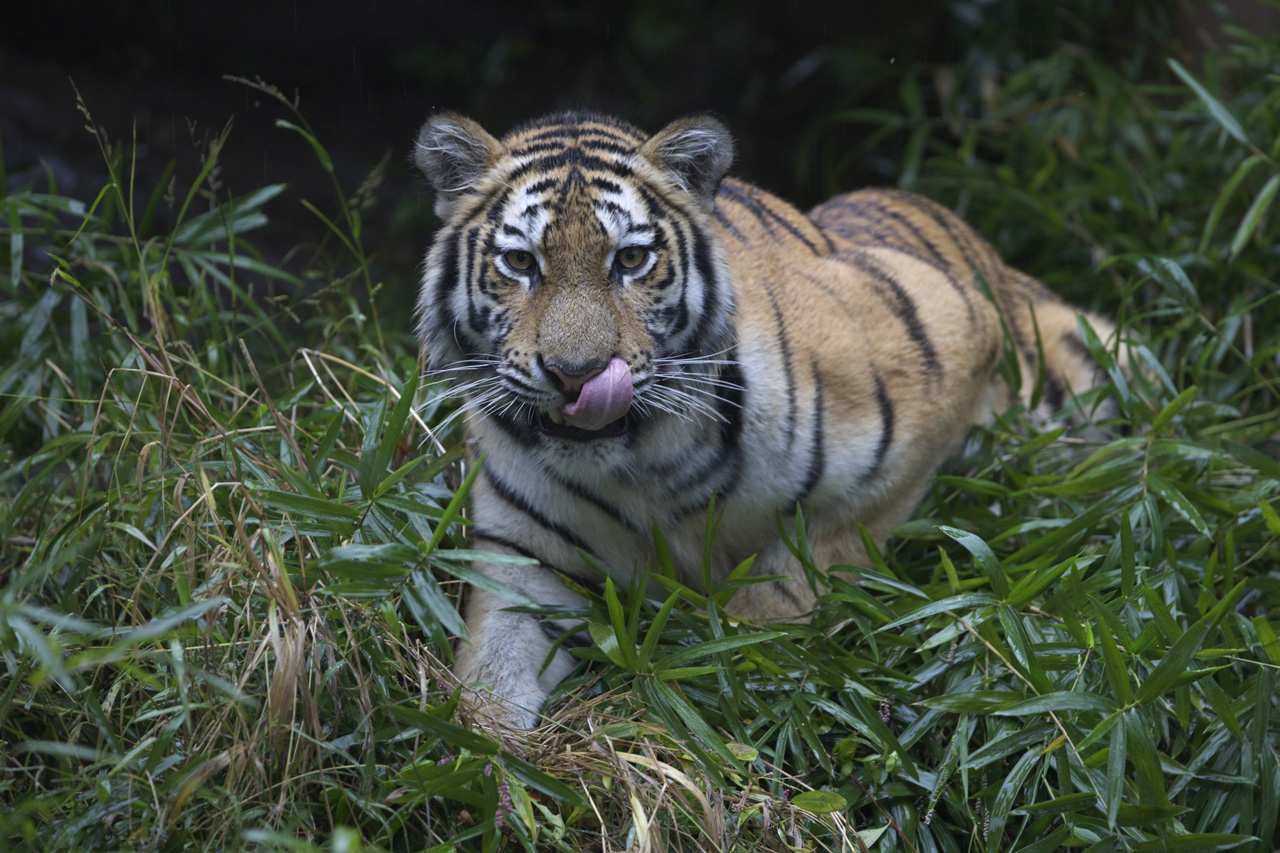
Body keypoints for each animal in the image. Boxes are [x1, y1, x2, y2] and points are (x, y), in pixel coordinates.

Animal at [412, 109, 1121, 727]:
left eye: (631, 260)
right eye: (520, 263)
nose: (577, 374)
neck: (642, 465)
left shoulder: (944, 350)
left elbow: (807, 565)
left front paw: (732, 657)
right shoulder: (523, 563)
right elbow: (486, 685)